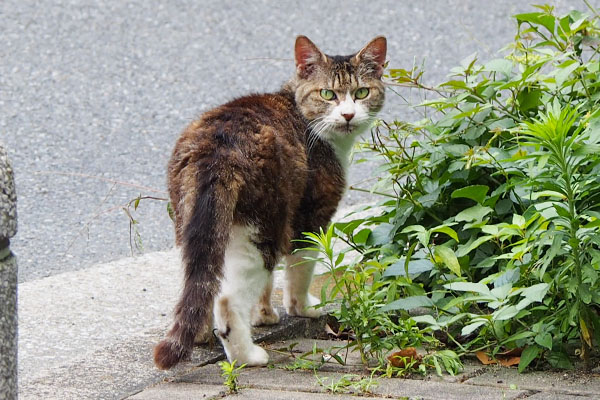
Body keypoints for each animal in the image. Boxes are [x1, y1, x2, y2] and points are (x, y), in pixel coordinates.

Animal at [155, 34, 386, 368]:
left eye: (362, 92)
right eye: (327, 94)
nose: (348, 115)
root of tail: (217, 147)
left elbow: (268, 284)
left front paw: (264, 316)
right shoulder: (310, 214)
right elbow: (300, 269)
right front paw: (303, 308)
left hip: (196, 224)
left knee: (203, 278)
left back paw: (200, 334)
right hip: (264, 228)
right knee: (227, 300)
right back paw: (248, 356)